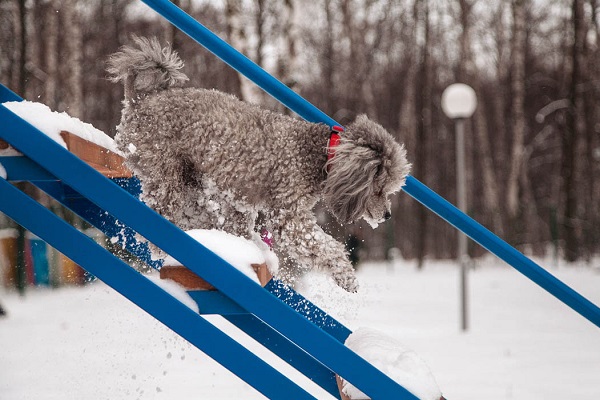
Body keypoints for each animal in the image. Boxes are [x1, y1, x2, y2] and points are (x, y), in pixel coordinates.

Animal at [108, 37, 410, 292]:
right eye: (380, 188)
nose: (388, 216)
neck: (319, 153)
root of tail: (139, 102)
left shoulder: (241, 201)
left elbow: (240, 226)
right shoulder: (289, 217)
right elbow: (325, 246)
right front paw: (346, 276)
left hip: (192, 181)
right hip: (166, 174)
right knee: (159, 214)